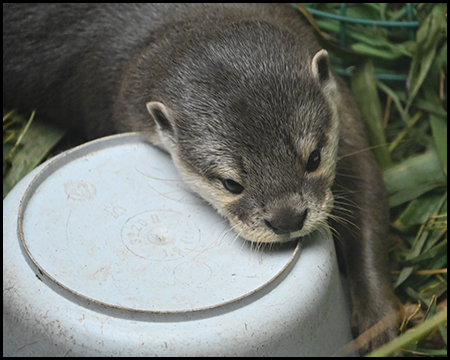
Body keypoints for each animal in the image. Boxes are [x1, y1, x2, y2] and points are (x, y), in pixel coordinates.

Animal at [2, 3, 398, 354]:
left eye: (313, 158)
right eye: (231, 183)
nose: (287, 219)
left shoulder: (345, 115)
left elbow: (369, 207)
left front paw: (378, 319)